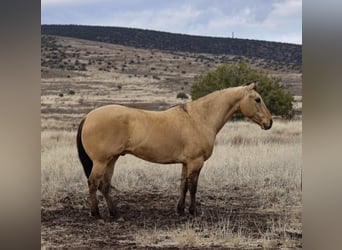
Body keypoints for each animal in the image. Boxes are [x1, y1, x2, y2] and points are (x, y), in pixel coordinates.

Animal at [77, 81, 272, 219]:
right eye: (257, 99)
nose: (269, 123)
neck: (199, 118)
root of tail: (88, 116)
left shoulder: (186, 163)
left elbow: (183, 186)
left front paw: (180, 210)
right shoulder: (195, 162)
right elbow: (193, 187)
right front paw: (193, 212)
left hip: (112, 159)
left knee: (105, 185)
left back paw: (115, 214)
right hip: (101, 161)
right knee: (93, 183)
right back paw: (97, 214)